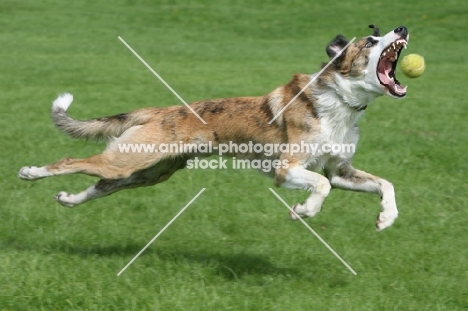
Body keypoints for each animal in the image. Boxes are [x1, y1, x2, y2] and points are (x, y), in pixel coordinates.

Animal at [17, 25, 410, 232]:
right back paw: (30, 172)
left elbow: (384, 184)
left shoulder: (340, 170)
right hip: (128, 162)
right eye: (370, 41)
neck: (339, 102)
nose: (403, 28)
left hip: (146, 173)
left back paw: (67, 200)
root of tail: (159, 111)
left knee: (98, 186)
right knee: (71, 162)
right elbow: (321, 187)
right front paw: (304, 211)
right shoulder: (288, 170)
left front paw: (387, 217)